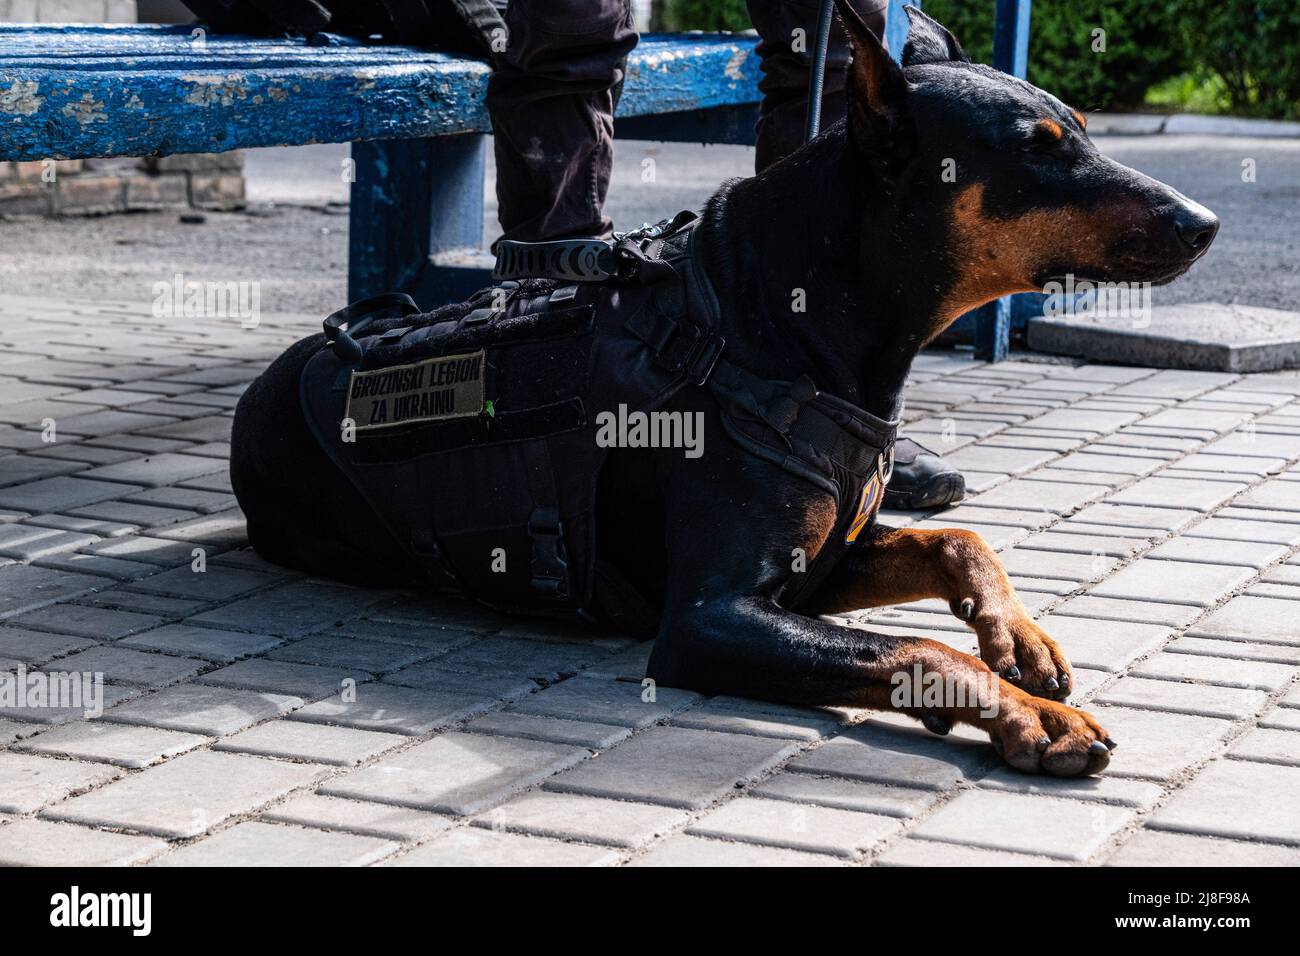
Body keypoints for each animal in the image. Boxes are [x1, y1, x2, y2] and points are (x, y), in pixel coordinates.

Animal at [233, 1, 1216, 780]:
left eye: (1081, 126)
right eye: (1032, 150)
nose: (1204, 223)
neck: (781, 322)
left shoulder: (816, 569)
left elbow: (956, 537)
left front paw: (1022, 638)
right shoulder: (713, 618)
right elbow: (917, 646)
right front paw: (1038, 719)